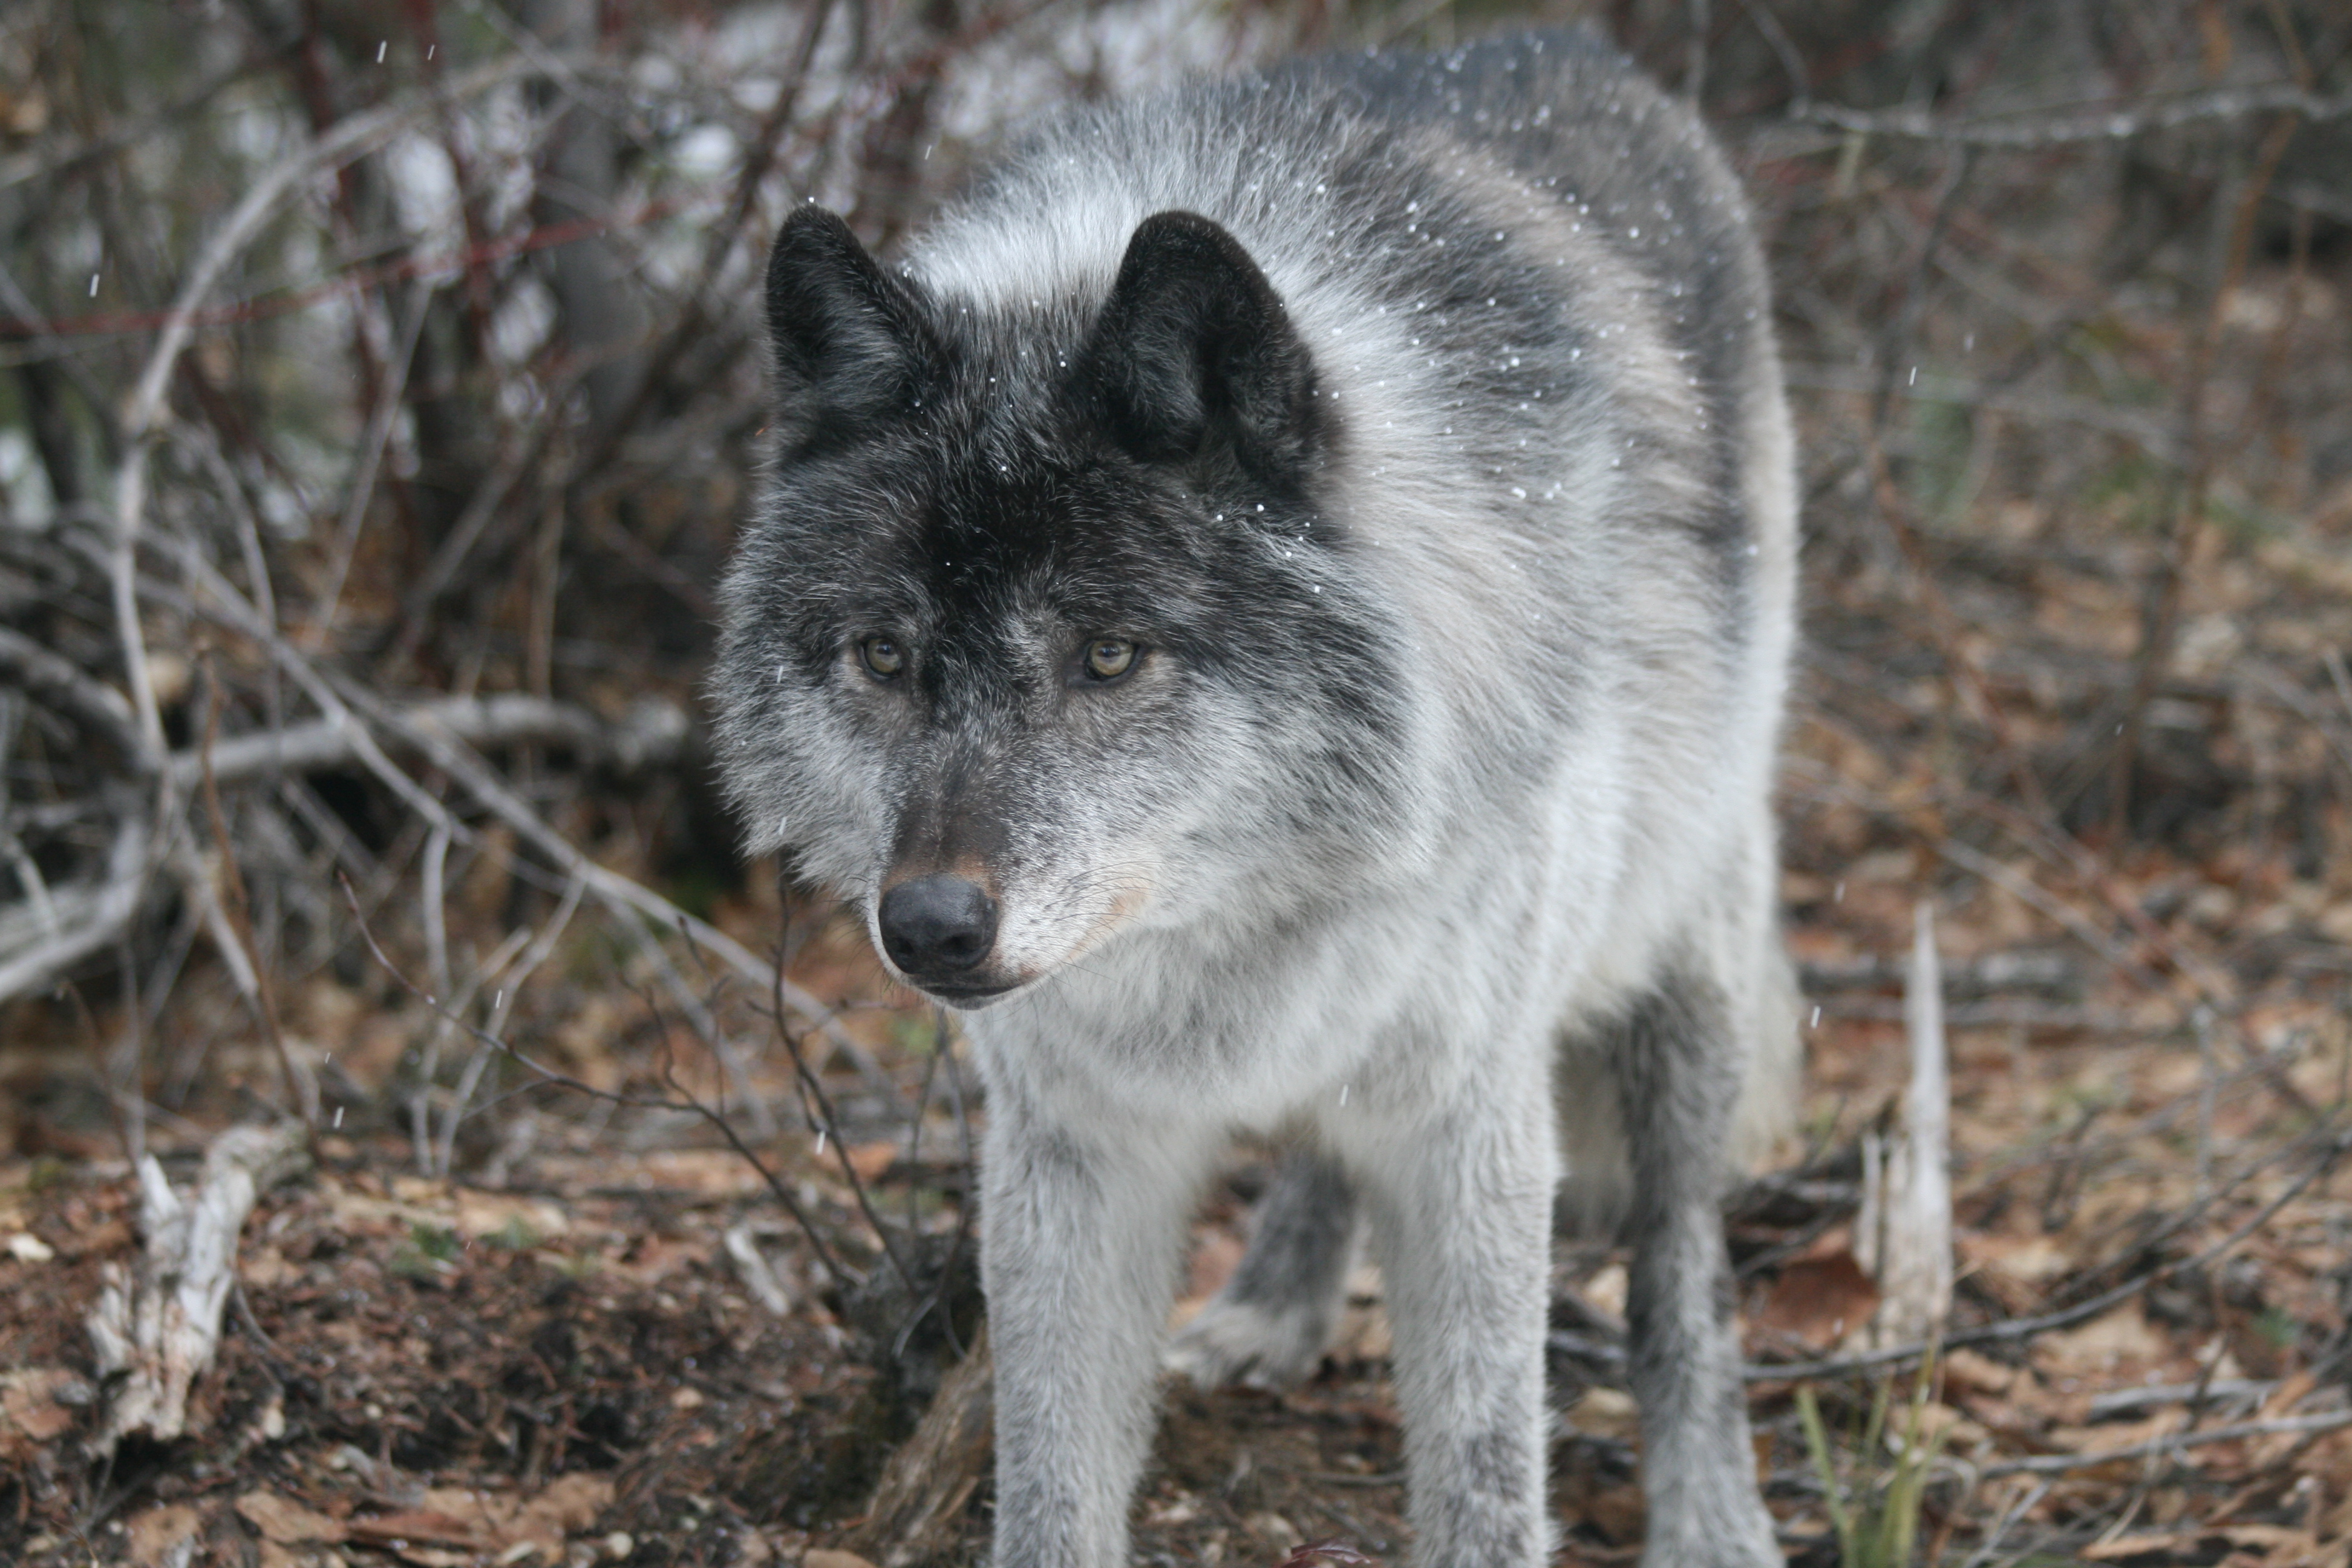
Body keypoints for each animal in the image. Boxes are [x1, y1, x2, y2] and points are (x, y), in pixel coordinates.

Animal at [714, 27, 1797, 1568]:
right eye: (883, 655)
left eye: (1111, 654)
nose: (925, 928)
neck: (1228, 928)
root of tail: (1573, 46)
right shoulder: (1072, 1149)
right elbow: (1050, 1480)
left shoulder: (1473, 1126)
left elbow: (1489, 1464)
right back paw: (1277, 1305)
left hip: (1681, 966)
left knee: (1682, 1268)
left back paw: (1712, 1514)